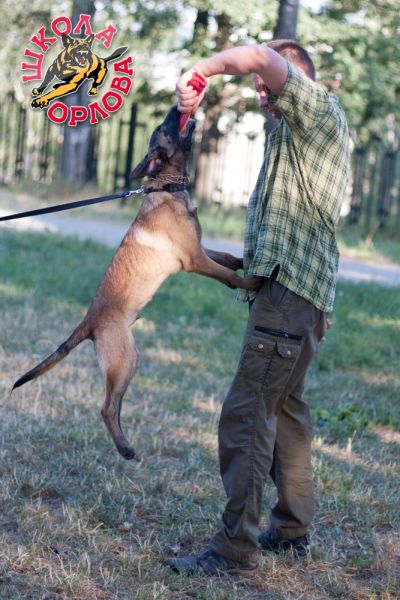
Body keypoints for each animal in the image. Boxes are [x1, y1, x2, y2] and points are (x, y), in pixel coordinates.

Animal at [12, 106, 262, 460]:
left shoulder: (198, 249)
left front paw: (245, 262)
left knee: (112, 406)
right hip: (125, 361)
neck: (165, 188)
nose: (177, 107)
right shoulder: (194, 259)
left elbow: (227, 259)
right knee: (107, 406)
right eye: (166, 128)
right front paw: (254, 281)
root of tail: (88, 321)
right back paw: (125, 448)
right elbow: (226, 275)